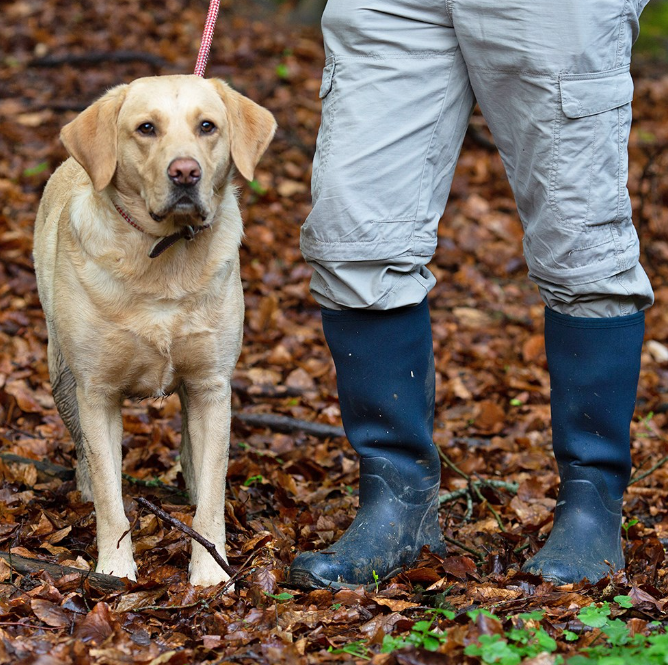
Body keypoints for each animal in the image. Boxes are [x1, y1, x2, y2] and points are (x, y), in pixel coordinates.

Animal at [31, 76, 276, 588]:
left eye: (207, 126)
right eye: (146, 128)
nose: (185, 172)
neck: (163, 256)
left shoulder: (211, 387)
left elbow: (213, 491)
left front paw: (210, 571)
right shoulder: (97, 394)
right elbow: (110, 493)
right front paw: (115, 568)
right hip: (61, 376)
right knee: (85, 456)